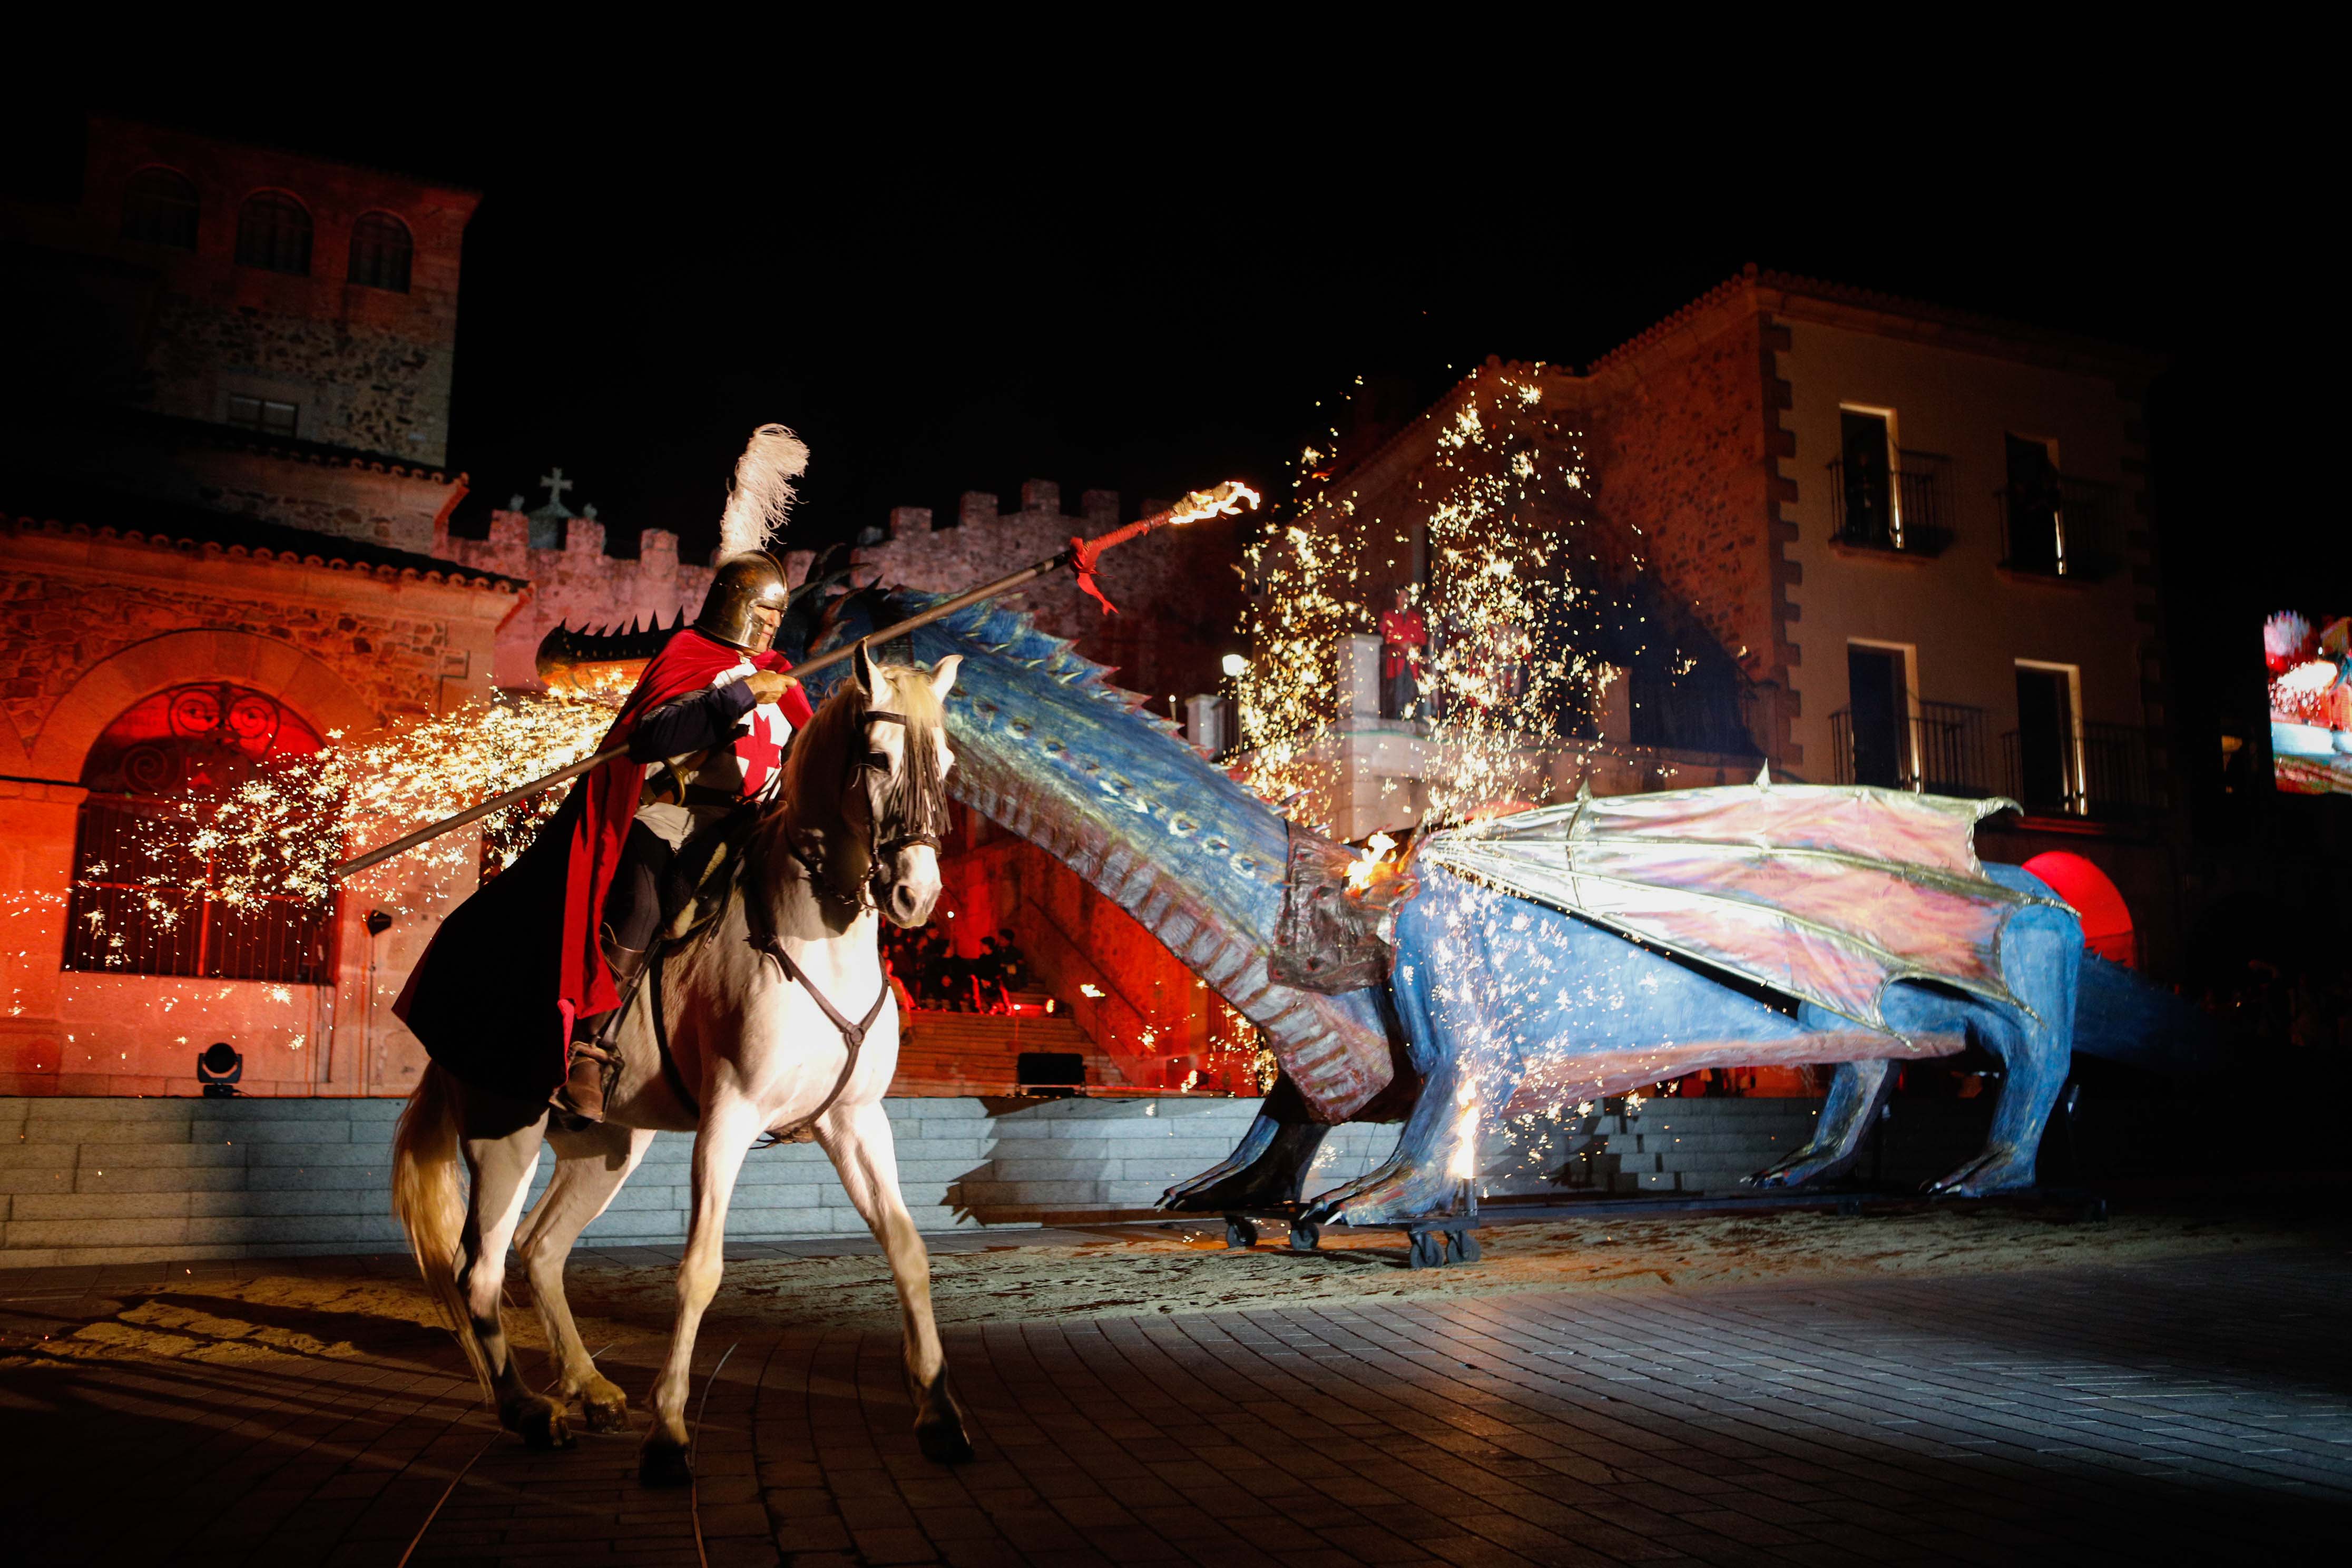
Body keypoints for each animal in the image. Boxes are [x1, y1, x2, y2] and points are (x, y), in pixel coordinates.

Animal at [395, 644, 974, 1476]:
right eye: (877, 758)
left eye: (948, 764)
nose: (916, 894)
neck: (814, 937)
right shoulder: (728, 1120)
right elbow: (700, 1269)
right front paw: (668, 1431)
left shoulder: (857, 1122)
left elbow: (908, 1249)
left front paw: (938, 1410)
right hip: (504, 1129)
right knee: (481, 1270)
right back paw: (530, 1411)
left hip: (607, 1145)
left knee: (541, 1251)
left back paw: (591, 1387)